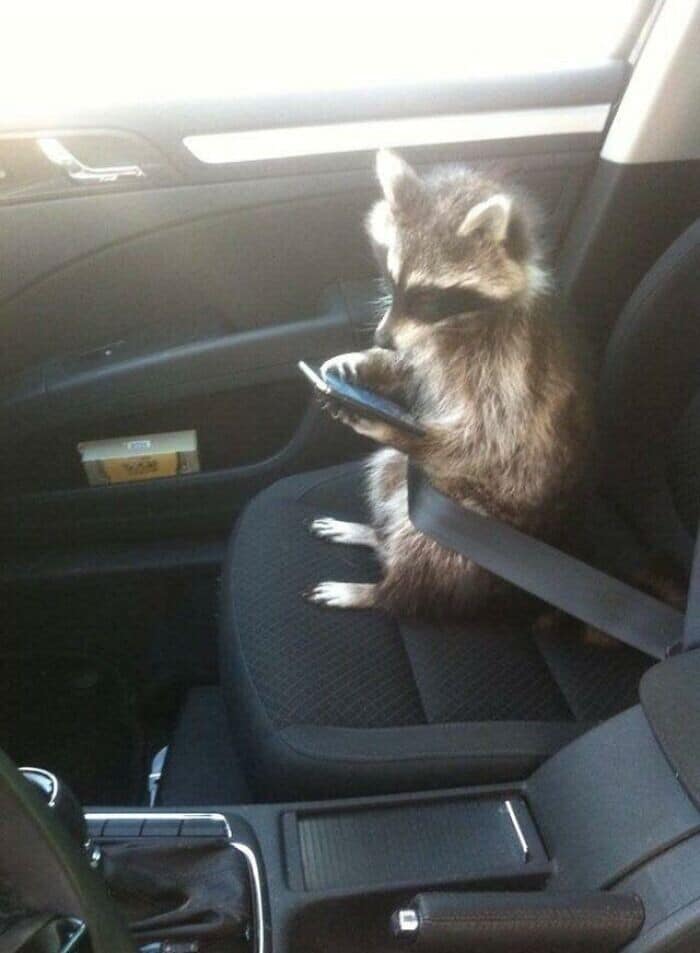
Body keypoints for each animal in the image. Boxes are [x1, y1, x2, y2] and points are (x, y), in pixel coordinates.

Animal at [306, 150, 592, 622]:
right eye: (390, 279)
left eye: (427, 297)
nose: (381, 338)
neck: (454, 321)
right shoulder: (428, 346)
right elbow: (412, 369)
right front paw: (367, 361)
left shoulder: (507, 363)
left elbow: (485, 438)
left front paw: (390, 423)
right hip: (407, 481)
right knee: (387, 472)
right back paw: (375, 534)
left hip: (472, 522)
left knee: (426, 549)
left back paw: (382, 591)